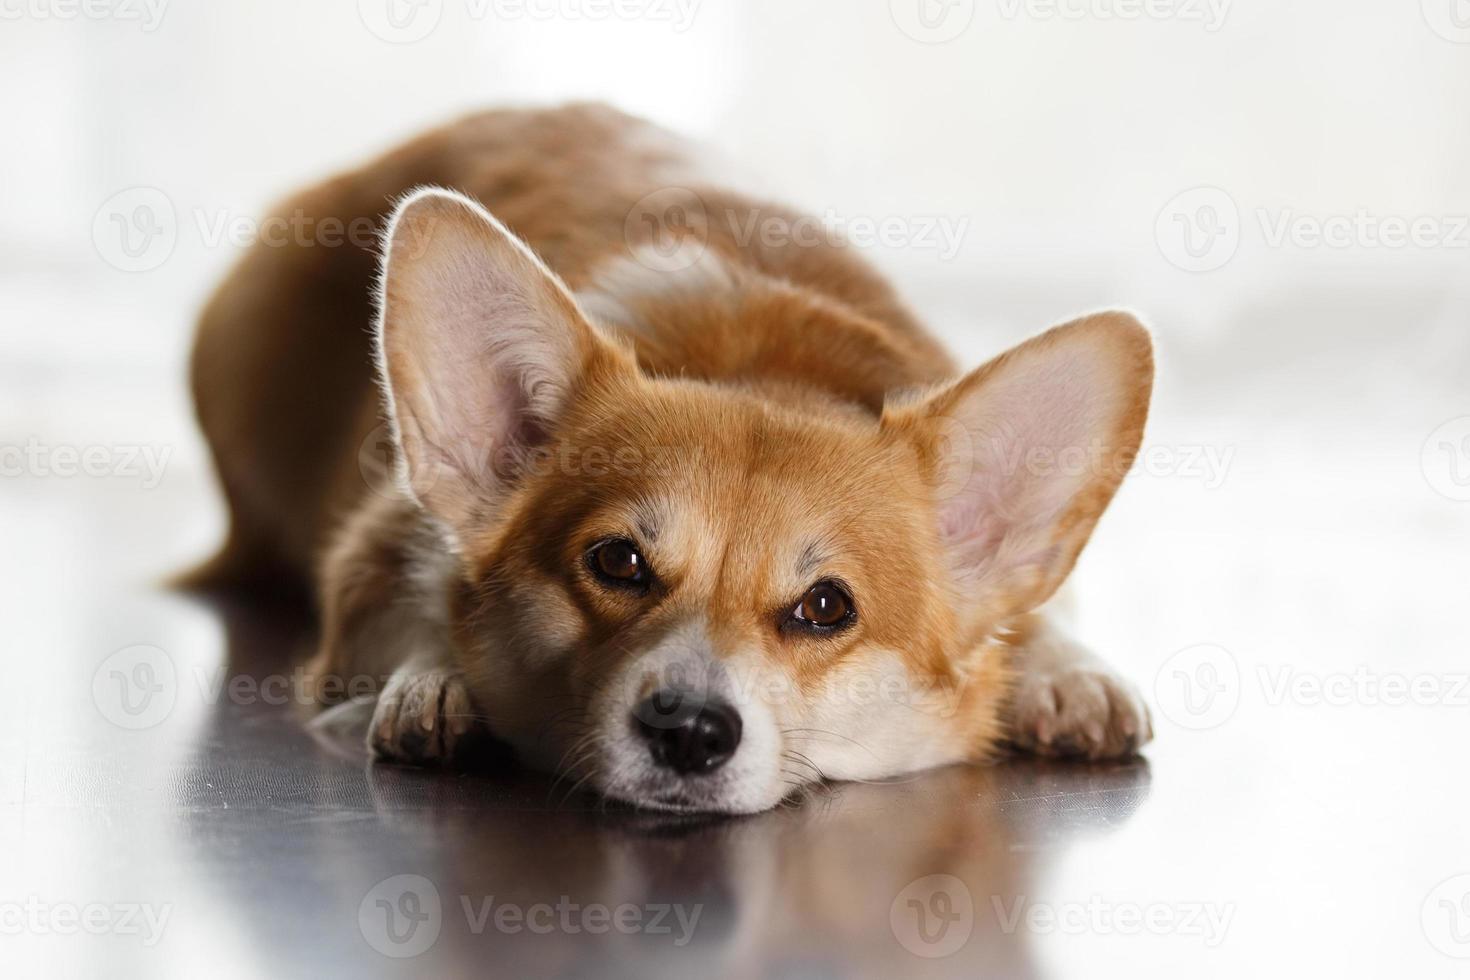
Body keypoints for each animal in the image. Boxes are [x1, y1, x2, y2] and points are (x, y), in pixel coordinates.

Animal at [189, 103, 1158, 816]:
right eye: (617, 561)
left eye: (826, 607)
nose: (688, 730)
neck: (759, 362)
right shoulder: (376, 548)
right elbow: (408, 606)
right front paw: (437, 682)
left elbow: (1037, 617)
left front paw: (1067, 677)